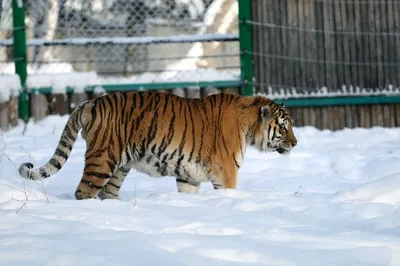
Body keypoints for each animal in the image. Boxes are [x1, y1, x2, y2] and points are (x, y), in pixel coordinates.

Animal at [18, 91, 296, 200]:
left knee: (107, 193)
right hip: (102, 159)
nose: (295, 143)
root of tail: (90, 103)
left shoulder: (189, 175)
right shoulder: (225, 170)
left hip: (120, 166)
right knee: (83, 191)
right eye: (284, 126)